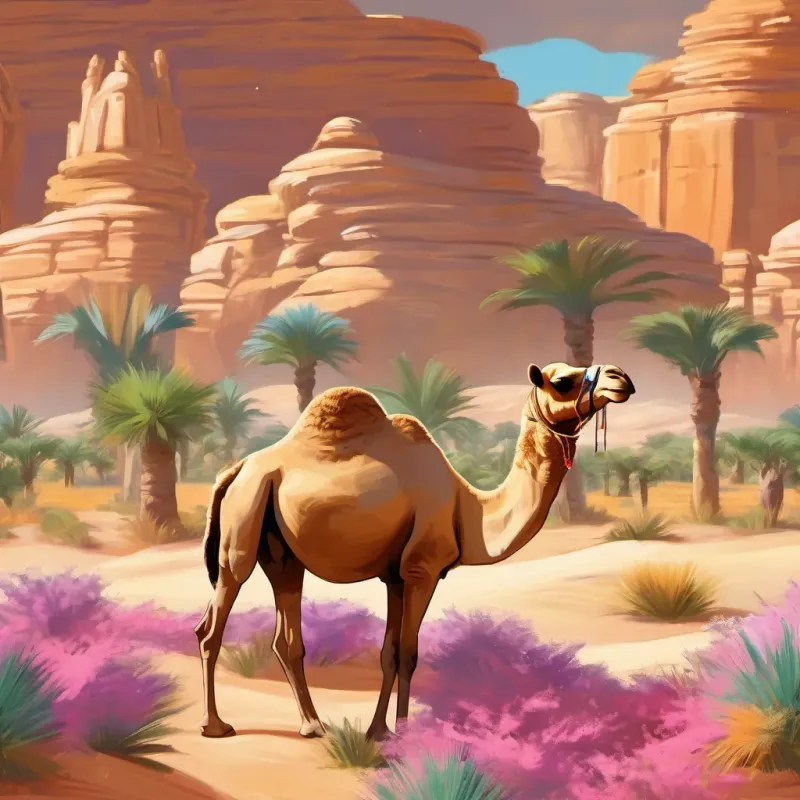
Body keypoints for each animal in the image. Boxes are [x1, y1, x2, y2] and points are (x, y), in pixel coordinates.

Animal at [195, 361, 635, 741]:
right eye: (562, 381)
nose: (621, 377)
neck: (469, 509)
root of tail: (234, 470)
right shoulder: (423, 569)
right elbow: (409, 653)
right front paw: (405, 736)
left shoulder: (395, 575)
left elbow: (389, 652)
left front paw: (379, 732)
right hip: (243, 522)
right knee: (211, 626)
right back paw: (215, 725)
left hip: (281, 551)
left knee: (285, 637)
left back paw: (313, 726)